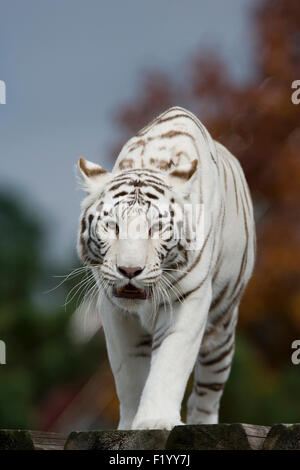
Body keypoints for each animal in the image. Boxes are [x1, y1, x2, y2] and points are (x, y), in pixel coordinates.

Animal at [75, 106, 255, 430]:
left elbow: (169, 363)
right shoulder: (114, 309)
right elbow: (129, 372)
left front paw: (155, 422)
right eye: (112, 226)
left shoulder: (189, 299)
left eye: (156, 228)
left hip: (221, 331)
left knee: (207, 392)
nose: (129, 270)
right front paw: (130, 425)